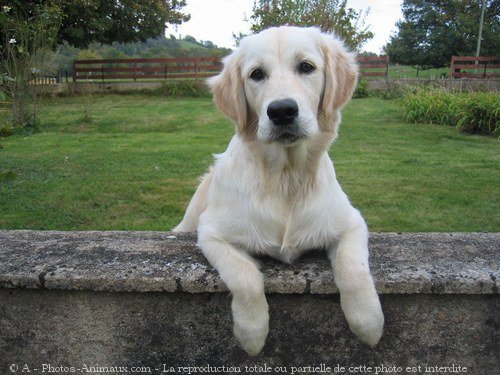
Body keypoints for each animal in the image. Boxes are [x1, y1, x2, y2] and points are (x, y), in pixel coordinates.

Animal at [174, 25, 384, 356]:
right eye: (256, 74)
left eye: (306, 67)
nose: (282, 111)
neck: (286, 178)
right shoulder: (212, 233)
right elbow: (245, 277)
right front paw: (252, 333)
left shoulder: (351, 223)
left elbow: (355, 269)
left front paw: (368, 322)